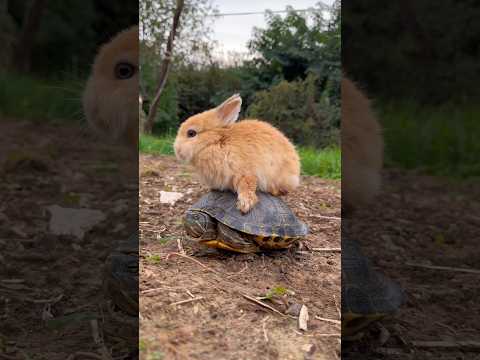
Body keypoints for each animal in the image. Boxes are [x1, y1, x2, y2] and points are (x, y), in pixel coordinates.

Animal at [172, 95, 300, 214]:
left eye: (191, 133)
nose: (176, 150)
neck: (216, 142)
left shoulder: (245, 172)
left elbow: (247, 186)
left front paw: (245, 205)